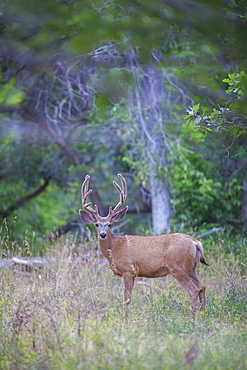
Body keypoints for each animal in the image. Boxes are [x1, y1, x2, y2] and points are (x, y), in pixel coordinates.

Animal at [78, 173, 208, 318]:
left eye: (110, 224)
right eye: (96, 224)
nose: (102, 234)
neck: (115, 247)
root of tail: (195, 242)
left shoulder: (128, 270)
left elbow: (127, 299)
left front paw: (126, 320)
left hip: (177, 266)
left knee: (193, 289)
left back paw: (192, 318)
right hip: (191, 268)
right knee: (202, 287)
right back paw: (202, 316)